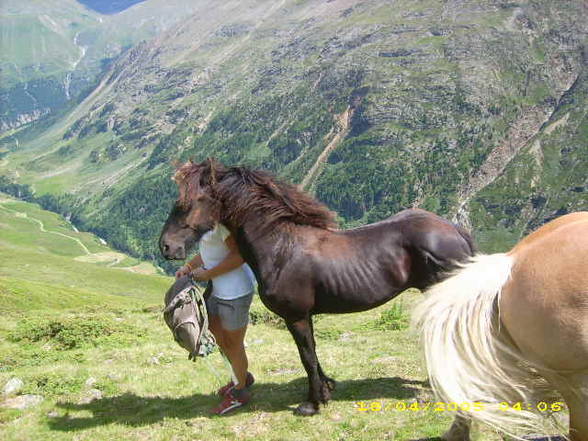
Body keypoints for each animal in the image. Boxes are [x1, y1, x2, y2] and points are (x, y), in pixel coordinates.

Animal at [158, 159, 476, 416]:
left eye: (186, 204)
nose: (166, 246)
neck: (280, 247)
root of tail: (455, 230)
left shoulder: (296, 316)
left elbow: (307, 356)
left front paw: (312, 404)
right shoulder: (305, 317)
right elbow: (312, 353)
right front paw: (326, 389)